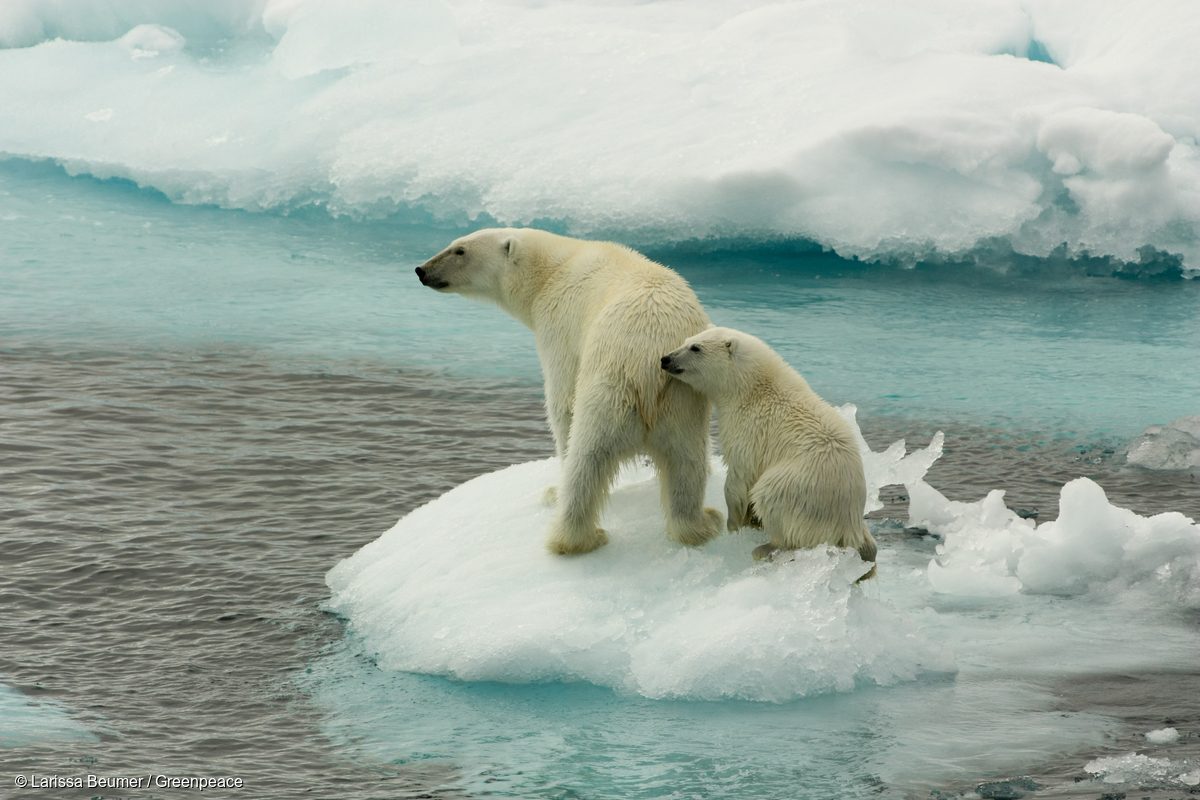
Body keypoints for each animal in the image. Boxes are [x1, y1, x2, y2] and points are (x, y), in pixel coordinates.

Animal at [416, 228, 724, 555]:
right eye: (453, 243)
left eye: (460, 250)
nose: (422, 270)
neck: (553, 269)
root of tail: (648, 364)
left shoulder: (559, 324)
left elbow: (561, 398)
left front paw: (554, 489)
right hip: (682, 401)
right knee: (686, 463)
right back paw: (701, 524)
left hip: (610, 389)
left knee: (587, 458)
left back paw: (573, 533)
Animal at [661, 326, 877, 578]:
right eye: (686, 340)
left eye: (695, 347)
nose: (665, 359)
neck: (752, 387)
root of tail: (847, 522)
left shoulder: (750, 429)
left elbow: (739, 477)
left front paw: (734, 524)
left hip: (799, 487)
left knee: (770, 497)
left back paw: (766, 547)